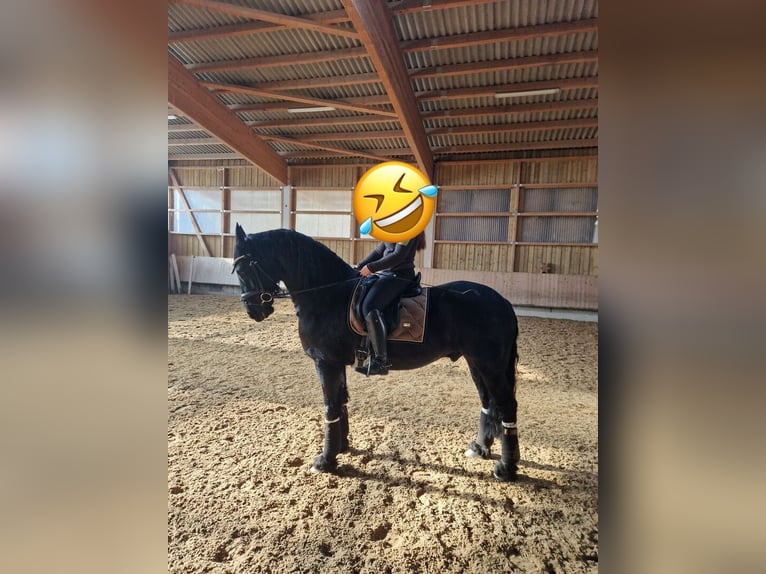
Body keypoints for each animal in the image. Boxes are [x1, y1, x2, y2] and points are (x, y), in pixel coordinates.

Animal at [232, 224, 520, 481]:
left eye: (244, 267)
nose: (253, 311)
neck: (326, 294)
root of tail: (502, 302)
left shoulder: (325, 362)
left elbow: (330, 406)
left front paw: (325, 461)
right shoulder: (336, 362)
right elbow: (341, 402)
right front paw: (342, 447)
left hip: (490, 365)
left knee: (507, 405)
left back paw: (506, 469)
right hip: (476, 363)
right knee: (488, 403)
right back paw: (479, 448)